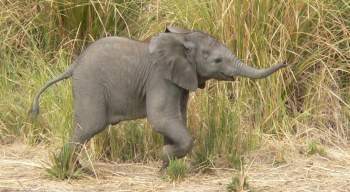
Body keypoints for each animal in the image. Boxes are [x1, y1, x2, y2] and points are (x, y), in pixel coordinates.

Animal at [30, 26, 288, 169]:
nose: (286, 61)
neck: (183, 39)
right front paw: (164, 158)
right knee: (90, 126)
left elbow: (177, 118)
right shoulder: (160, 78)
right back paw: (73, 171)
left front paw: (166, 166)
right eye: (217, 61)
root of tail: (74, 64)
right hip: (90, 84)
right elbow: (161, 118)